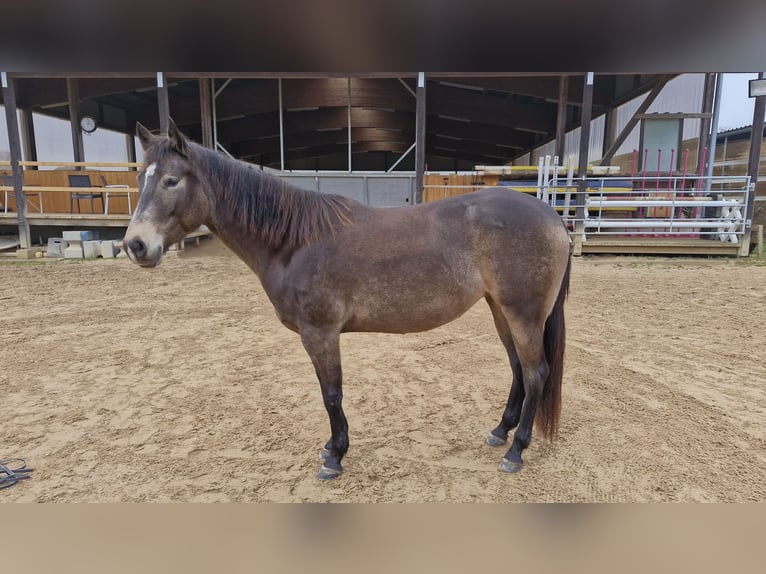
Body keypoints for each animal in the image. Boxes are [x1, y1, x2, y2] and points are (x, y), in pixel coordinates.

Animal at [124, 119, 572, 480]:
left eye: (171, 181)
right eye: (141, 180)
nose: (135, 245)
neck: (294, 242)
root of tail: (552, 217)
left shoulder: (320, 333)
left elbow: (331, 394)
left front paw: (335, 456)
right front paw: (332, 448)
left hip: (523, 313)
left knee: (536, 373)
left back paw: (516, 450)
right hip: (501, 309)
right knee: (518, 368)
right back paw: (501, 432)